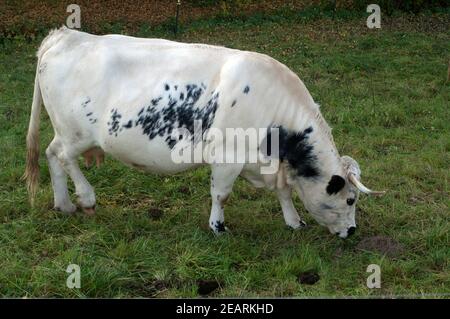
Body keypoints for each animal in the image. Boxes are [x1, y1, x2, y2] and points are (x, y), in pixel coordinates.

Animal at [24, 26, 384, 238]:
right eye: (349, 198)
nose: (353, 231)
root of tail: (65, 35)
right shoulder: (227, 157)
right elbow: (220, 194)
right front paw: (218, 226)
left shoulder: (269, 164)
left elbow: (283, 191)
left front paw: (294, 221)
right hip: (76, 133)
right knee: (61, 156)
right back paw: (85, 198)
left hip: (67, 132)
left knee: (51, 155)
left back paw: (63, 204)